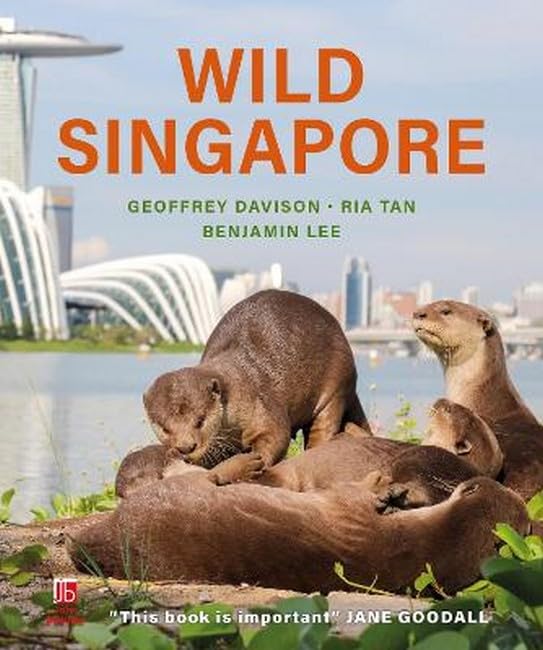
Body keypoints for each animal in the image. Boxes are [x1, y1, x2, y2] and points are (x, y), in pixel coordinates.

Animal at [143, 290, 370, 475]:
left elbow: (276, 435)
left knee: (324, 425)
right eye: (164, 428)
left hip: (337, 383)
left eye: (200, 421)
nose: (186, 447)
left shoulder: (259, 401)